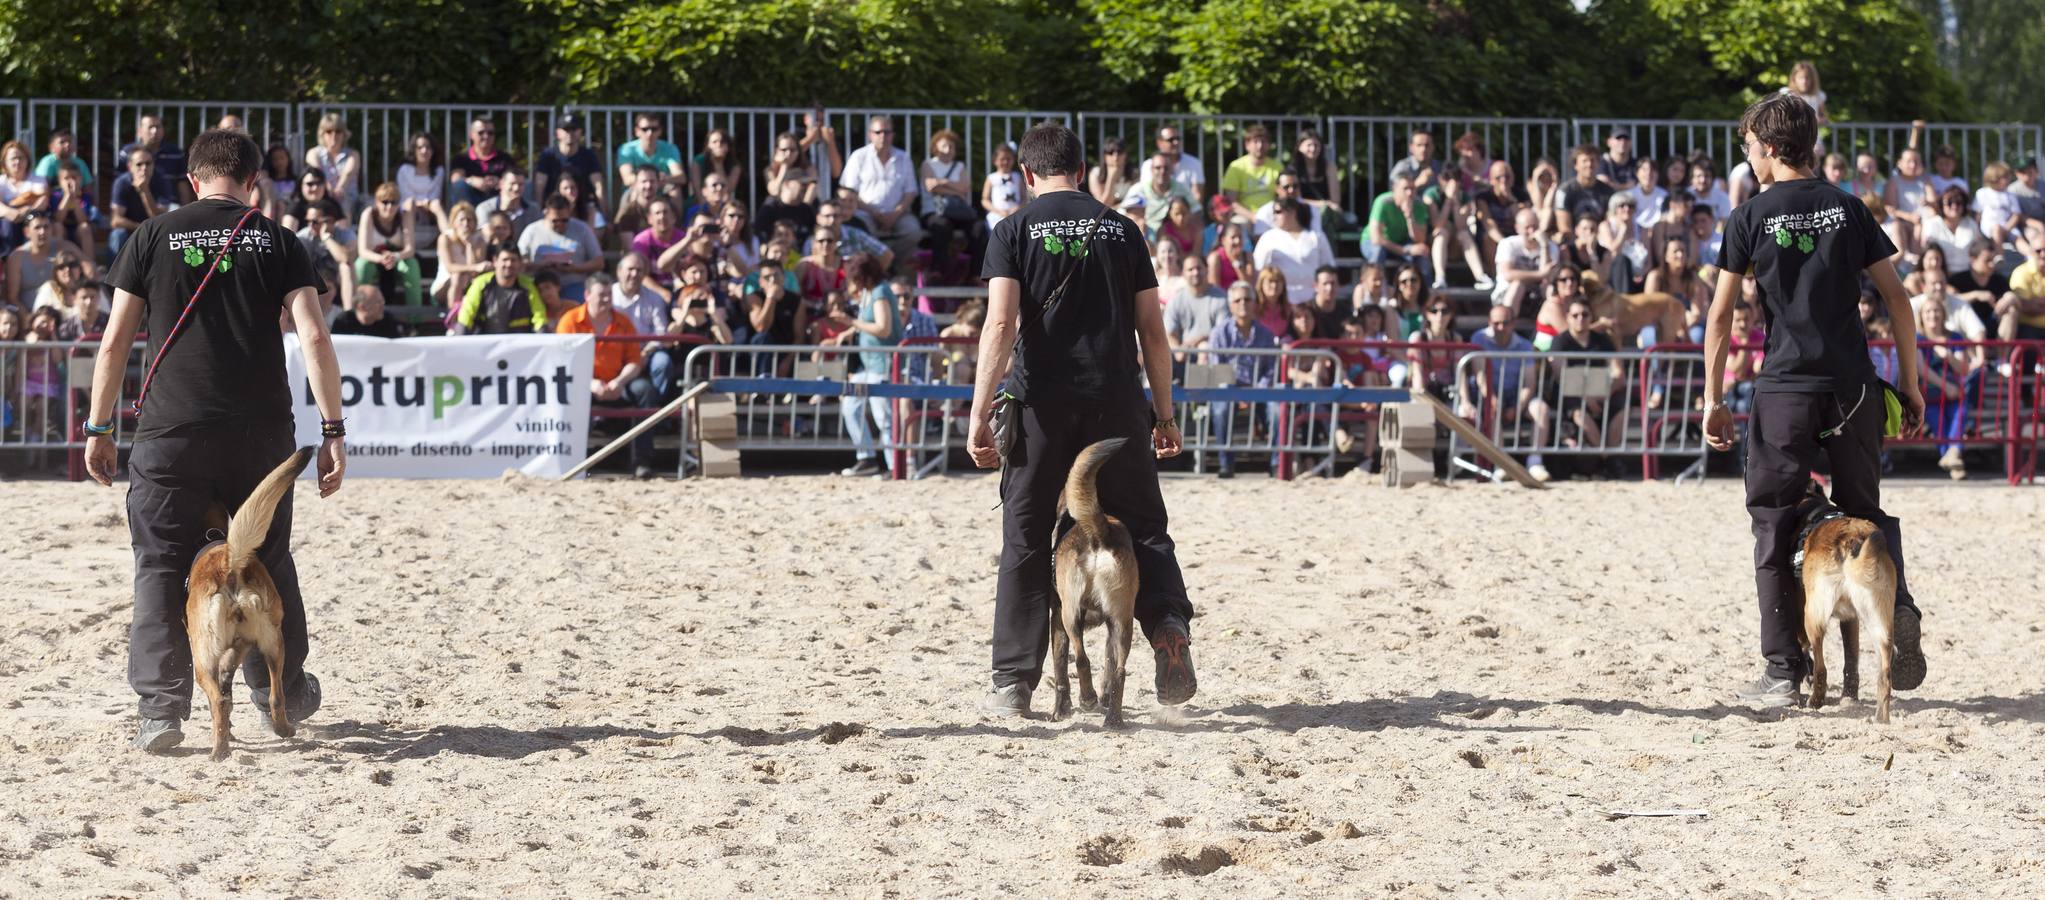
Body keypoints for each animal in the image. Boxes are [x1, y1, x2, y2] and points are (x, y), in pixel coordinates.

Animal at [185, 445, 310, 756]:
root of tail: (229, 563)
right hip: (273, 643)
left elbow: (221, 698)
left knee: (219, 701)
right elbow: (228, 687)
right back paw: (279, 731)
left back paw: (220, 751)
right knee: (274, 696)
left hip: (205, 659)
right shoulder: (239, 647)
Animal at [1047, 439, 1145, 728]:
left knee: (1081, 659)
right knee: (1120, 671)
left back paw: (1088, 698)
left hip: (1071, 614)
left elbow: (1060, 668)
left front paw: (1061, 709)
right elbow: (1109, 666)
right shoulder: (1111, 626)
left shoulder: (1057, 620)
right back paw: (1113, 718)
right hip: (1122, 621)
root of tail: (1098, 530)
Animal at [1791, 478, 1897, 724]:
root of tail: (1851, 538)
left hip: (1813, 615)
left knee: (1821, 667)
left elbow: (1805, 650)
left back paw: (1815, 700)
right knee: (1885, 676)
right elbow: (1851, 655)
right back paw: (1881, 719)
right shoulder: (1851, 619)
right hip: (1879, 622)